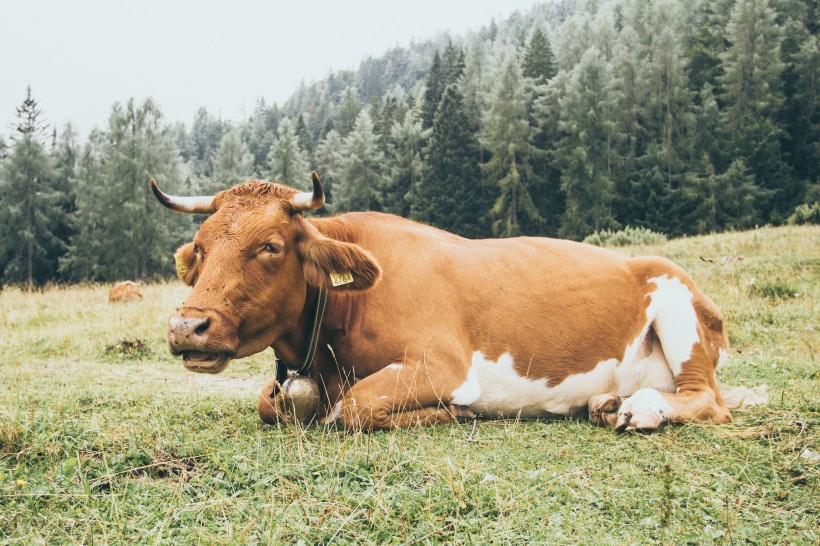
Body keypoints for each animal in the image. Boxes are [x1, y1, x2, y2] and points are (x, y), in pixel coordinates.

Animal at [151, 173, 732, 430]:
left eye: (270, 246)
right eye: (199, 249)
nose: (186, 326)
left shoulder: (443, 364)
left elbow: (352, 407)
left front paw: (454, 412)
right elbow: (270, 403)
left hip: (677, 301)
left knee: (707, 400)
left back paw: (642, 409)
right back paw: (605, 403)